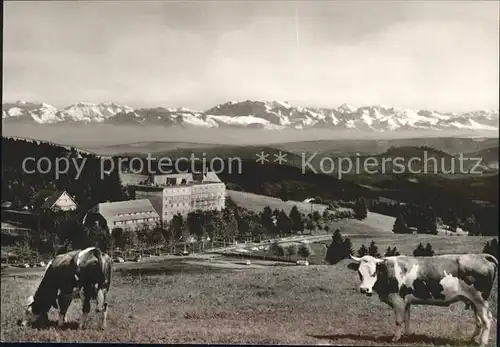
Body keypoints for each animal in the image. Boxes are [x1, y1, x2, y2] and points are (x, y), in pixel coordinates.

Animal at [350, 253, 498, 347]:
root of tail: (482, 256)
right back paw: (473, 338)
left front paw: (395, 338)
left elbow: (399, 321)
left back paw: (483, 342)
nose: (364, 289)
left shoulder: (397, 299)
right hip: (474, 301)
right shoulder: (406, 301)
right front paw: (407, 334)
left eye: (374, 273)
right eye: (359, 272)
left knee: (487, 320)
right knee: (479, 321)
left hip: (480, 300)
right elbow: (407, 318)